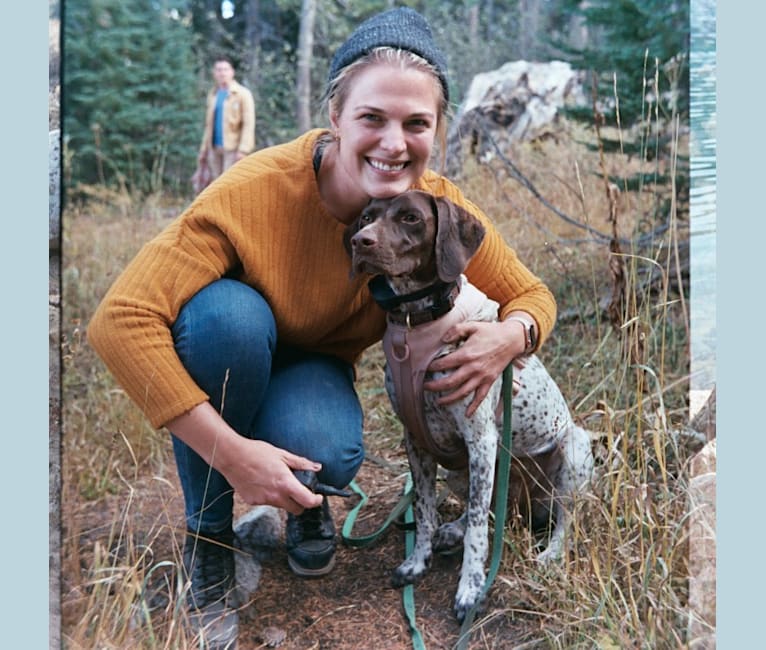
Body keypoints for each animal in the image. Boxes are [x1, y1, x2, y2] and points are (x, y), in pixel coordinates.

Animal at [346, 190, 592, 620]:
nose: (361, 242)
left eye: (410, 217)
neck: (415, 325)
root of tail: (527, 506)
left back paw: (551, 555)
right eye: (366, 217)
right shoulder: (416, 441)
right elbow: (425, 511)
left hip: (574, 451)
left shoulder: (481, 440)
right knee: (491, 508)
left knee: (559, 518)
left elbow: (479, 530)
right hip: (461, 471)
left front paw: (471, 588)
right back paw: (453, 530)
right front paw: (418, 561)